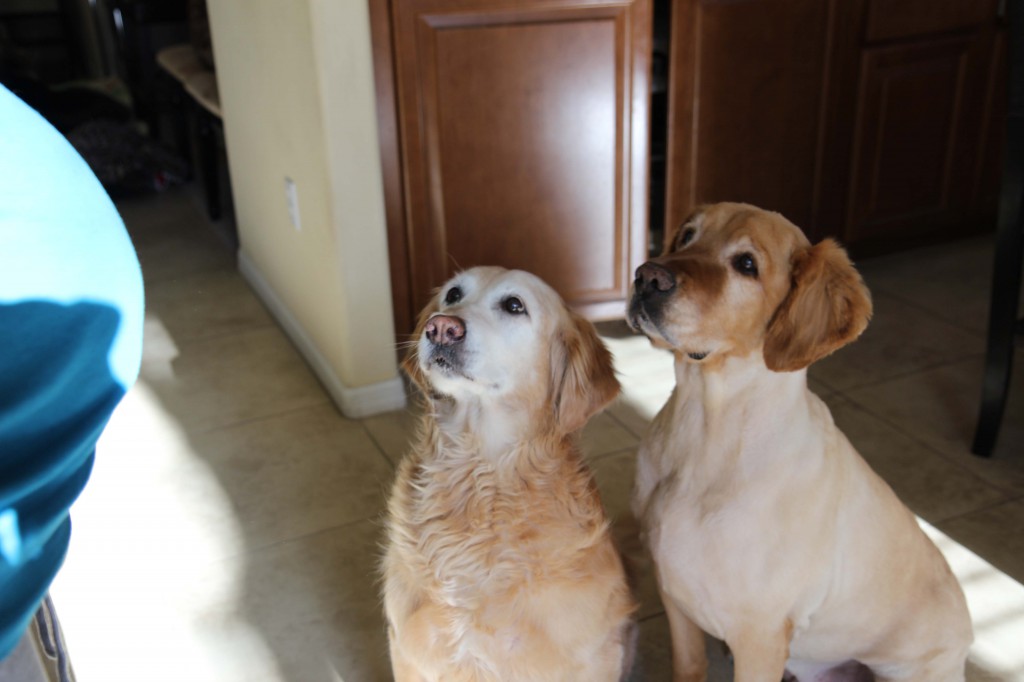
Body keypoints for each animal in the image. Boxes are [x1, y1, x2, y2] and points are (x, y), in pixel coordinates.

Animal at [626, 202, 970, 679]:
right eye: (687, 236)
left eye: (746, 264)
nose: (646, 277)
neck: (707, 428)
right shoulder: (674, 594)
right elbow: (689, 666)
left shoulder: (759, 633)